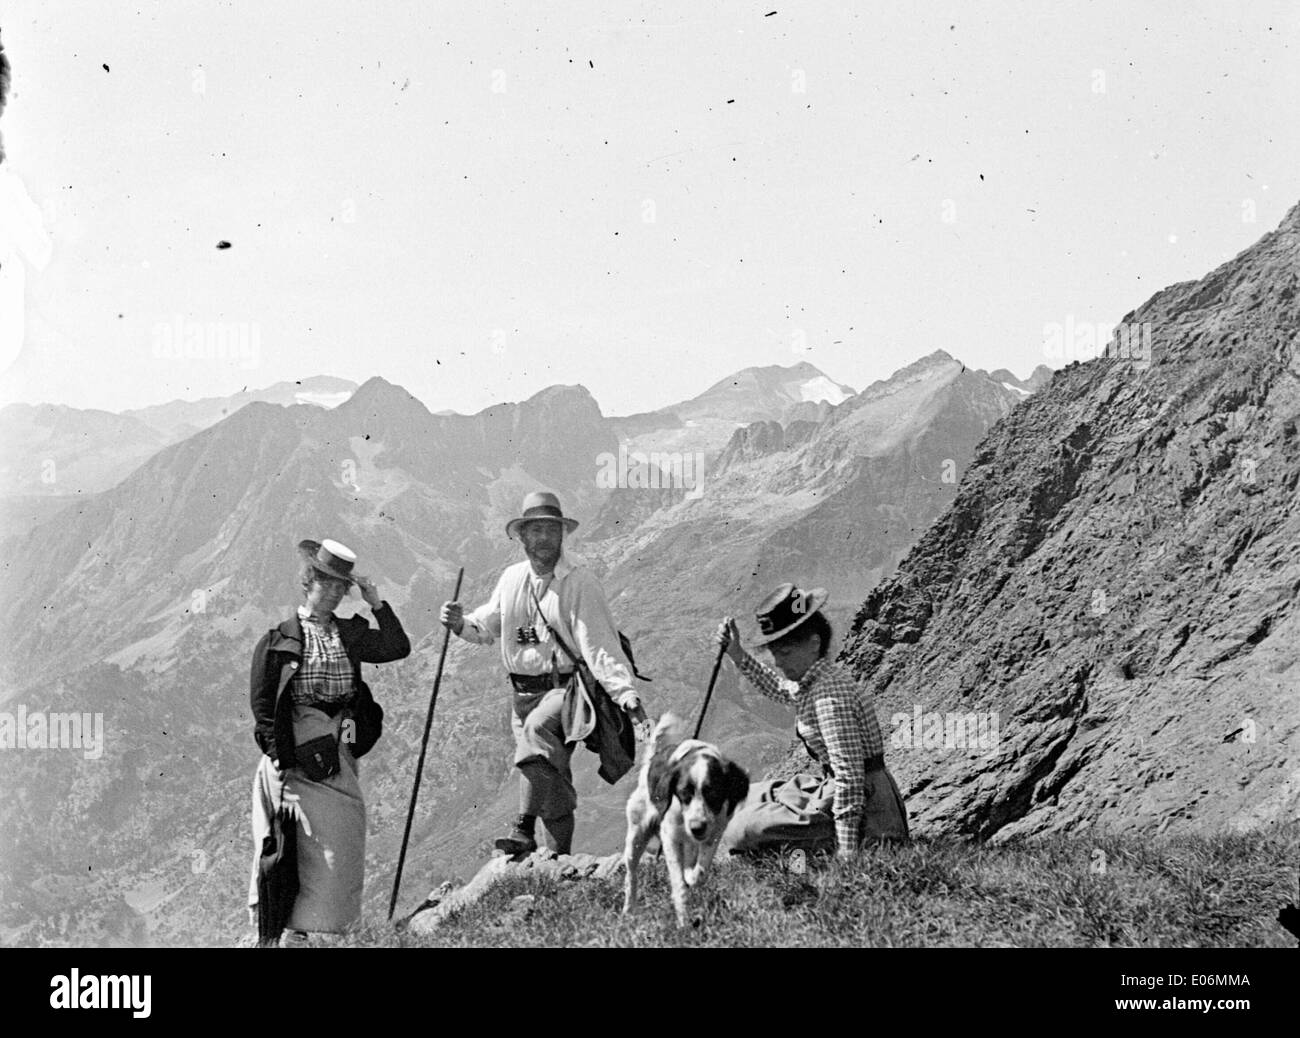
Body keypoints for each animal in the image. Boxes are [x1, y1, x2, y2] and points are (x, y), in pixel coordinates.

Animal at [621, 718, 748, 926]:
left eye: (713, 793)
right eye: (683, 793)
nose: (697, 828)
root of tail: (652, 759)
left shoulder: (715, 831)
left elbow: (700, 872)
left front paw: (692, 877)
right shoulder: (670, 837)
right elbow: (679, 883)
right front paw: (683, 920)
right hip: (637, 834)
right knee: (631, 874)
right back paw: (628, 910)